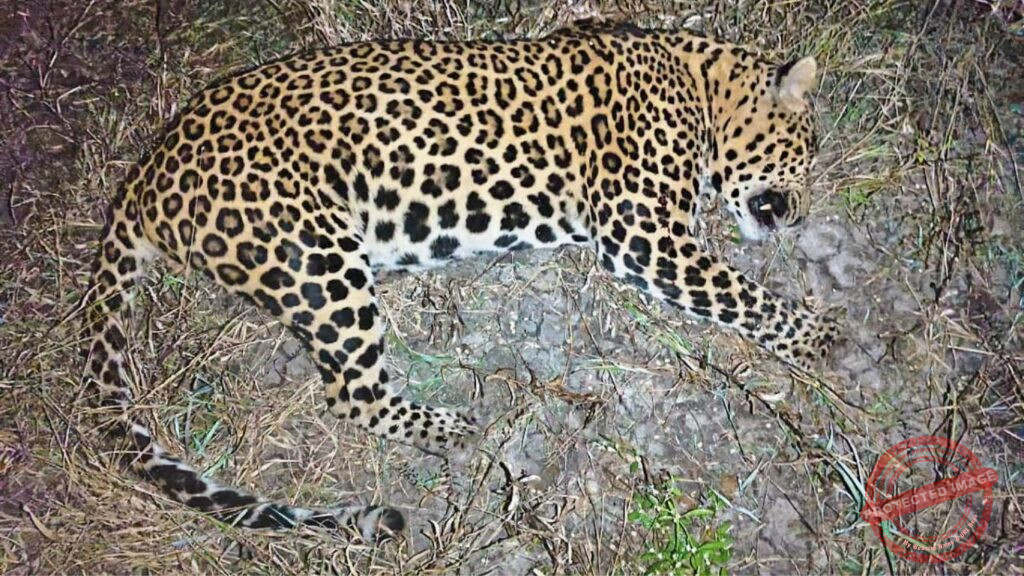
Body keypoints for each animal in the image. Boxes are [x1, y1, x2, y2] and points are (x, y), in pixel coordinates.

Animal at [80, 20, 839, 542]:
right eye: (804, 155)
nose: (799, 216)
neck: (699, 84)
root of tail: (144, 177)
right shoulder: (642, 232)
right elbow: (737, 292)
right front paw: (817, 335)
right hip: (322, 259)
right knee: (352, 393)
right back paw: (452, 428)